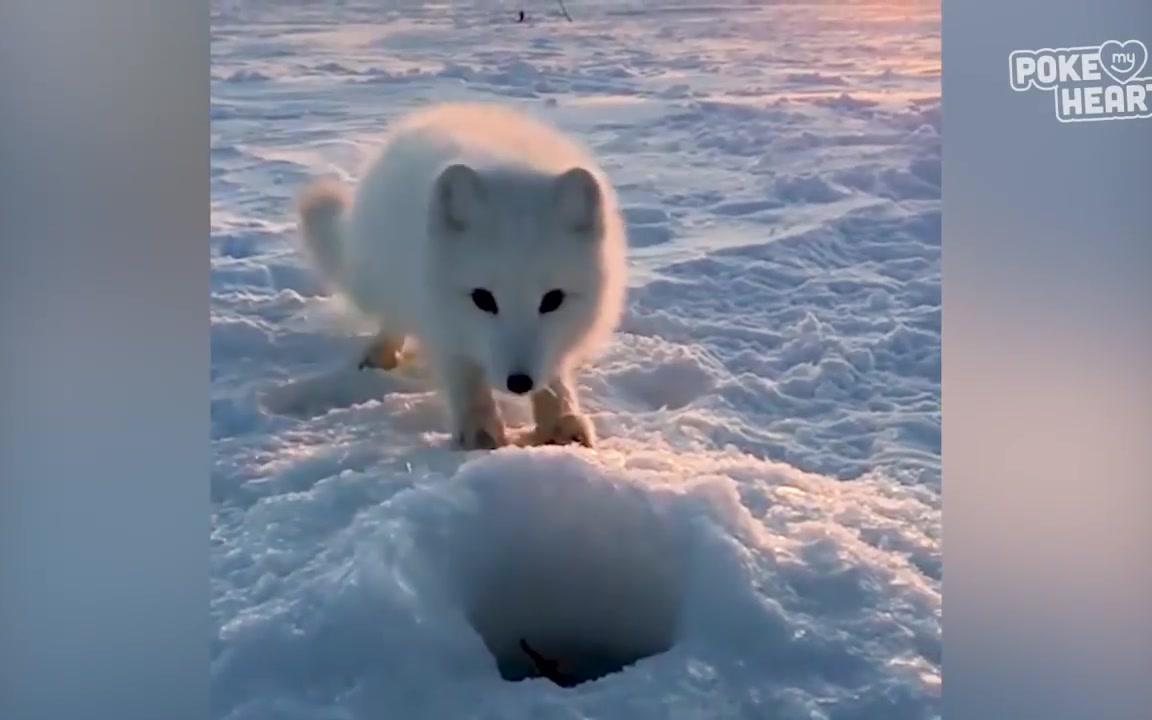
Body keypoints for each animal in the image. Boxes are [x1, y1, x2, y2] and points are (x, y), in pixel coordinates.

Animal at [292, 103, 626, 446]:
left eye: (553, 300)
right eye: (482, 299)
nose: (519, 382)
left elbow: (555, 375)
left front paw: (561, 422)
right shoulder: (441, 322)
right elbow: (466, 377)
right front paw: (480, 432)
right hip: (381, 281)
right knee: (392, 317)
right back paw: (380, 353)